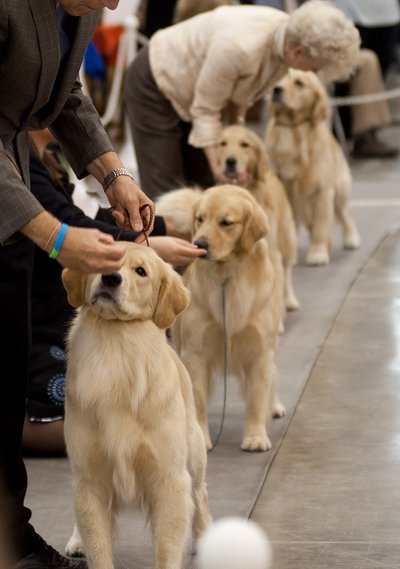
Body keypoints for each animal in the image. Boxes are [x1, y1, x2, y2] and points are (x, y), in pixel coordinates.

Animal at [61, 244, 212, 568]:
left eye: (140, 271)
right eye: (106, 258)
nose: (110, 278)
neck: (116, 347)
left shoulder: (169, 477)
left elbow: (167, 547)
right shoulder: (89, 477)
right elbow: (97, 544)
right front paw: (86, 543)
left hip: (193, 453)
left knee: (200, 494)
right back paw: (77, 540)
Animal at [161, 184, 286, 450]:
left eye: (226, 222)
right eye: (200, 219)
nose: (199, 243)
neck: (227, 277)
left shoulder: (260, 351)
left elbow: (257, 397)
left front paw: (256, 437)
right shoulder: (195, 352)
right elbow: (198, 398)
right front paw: (201, 437)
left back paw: (275, 406)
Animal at [217, 124, 298, 310]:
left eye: (244, 145)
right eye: (222, 143)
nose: (230, 161)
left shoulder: (272, 250)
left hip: (286, 239)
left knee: (287, 271)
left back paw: (290, 300)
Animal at [266, 69, 360, 266]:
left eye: (299, 83)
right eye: (279, 80)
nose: (276, 90)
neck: (293, 130)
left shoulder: (323, 191)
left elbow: (321, 228)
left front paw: (318, 253)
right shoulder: (286, 193)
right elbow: (292, 225)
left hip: (339, 192)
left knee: (347, 214)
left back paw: (351, 238)